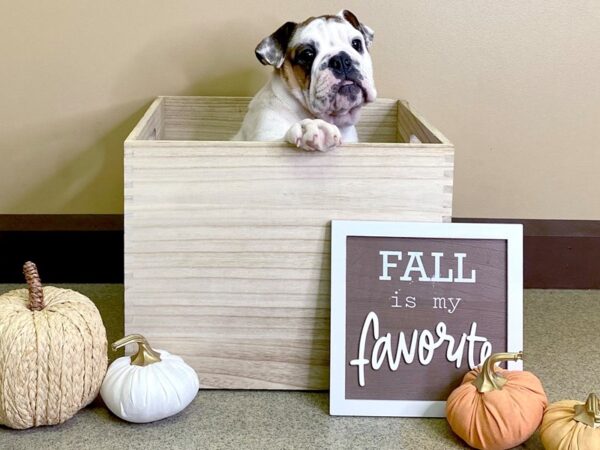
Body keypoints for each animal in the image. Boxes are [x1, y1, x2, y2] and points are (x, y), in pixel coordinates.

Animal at [233, 9, 378, 151]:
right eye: (307, 54)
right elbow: (279, 140)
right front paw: (312, 127)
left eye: (356, 43)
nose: (341, 60)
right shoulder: (263, 138)